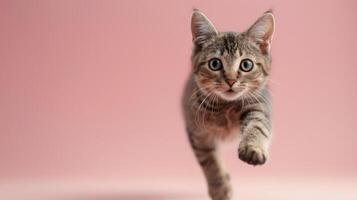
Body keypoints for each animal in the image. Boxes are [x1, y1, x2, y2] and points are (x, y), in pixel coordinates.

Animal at [182, 9, 274, 200]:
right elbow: (209, 160)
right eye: (215, 63)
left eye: (246, 64)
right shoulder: (197, 132)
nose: (231, 80)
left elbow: (258, 125)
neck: (226, 107)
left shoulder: (258, 105)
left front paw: (253, 148)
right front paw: (220, 188)